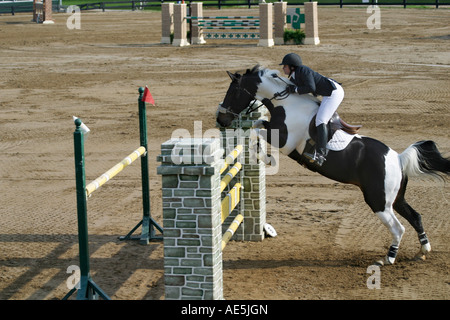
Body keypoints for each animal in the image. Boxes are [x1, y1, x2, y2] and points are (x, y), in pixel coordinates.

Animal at [216, 65, 448, 264]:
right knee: (415, 217)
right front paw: (262, 154)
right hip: (395, 198)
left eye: (233, 92)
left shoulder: (285, 141)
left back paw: (388, 258)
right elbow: (257, 125)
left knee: (398, 228)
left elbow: (258, 128)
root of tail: (398, 159)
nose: (220, 120)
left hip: (378, 201)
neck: (288, 104)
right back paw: (422, 251)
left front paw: (266, 157)